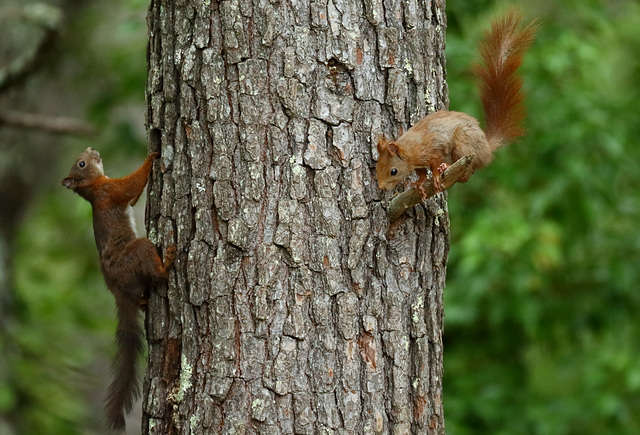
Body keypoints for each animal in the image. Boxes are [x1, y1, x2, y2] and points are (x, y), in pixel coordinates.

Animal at [62, 149, 175, 432]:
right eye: (81, 163)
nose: (93, 150)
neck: (93, 188)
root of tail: (117, 291)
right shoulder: (111, 190)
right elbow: (131, 185)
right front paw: (152, 156)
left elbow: (133, 196)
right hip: (138, 252)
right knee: (157, 274)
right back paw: (168, 262)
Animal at [378, 11, 536, 197]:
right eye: (377, 167)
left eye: (393, 171)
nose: (381, 187)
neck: (410, 148)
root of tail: (486, 150)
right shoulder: (418, 163)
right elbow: (422, 173)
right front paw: (419, 184)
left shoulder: (432, 151)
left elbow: (434, 164)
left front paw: (436, 176)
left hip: (463, 144)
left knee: (467, 173)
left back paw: (448, 168)